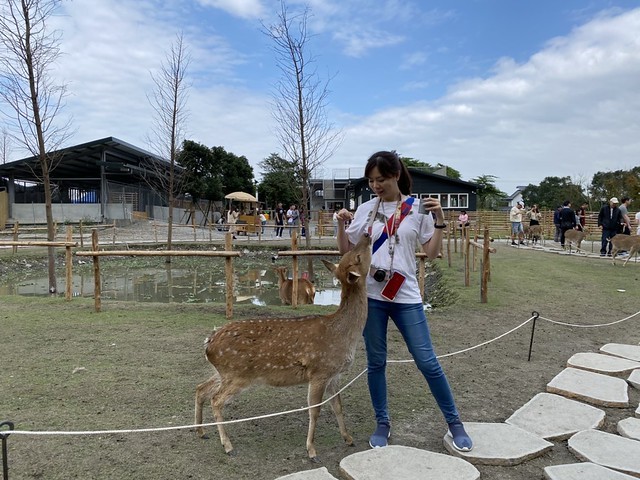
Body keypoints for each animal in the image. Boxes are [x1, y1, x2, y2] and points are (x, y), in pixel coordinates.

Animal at [194, 233, 372, 461]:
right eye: (357, 256)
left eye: (351, 254)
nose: (367, 235)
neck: (344, 335)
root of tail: (208, 343)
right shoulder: (319, 371)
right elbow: (315, 409)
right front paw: (311, 450)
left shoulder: (334, 374)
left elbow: (338, 406)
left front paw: (348, 438)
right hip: (238, 374)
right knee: (216, 399)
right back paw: (227, 445)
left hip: (222, 372)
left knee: (201, 389)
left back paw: (201, 431)